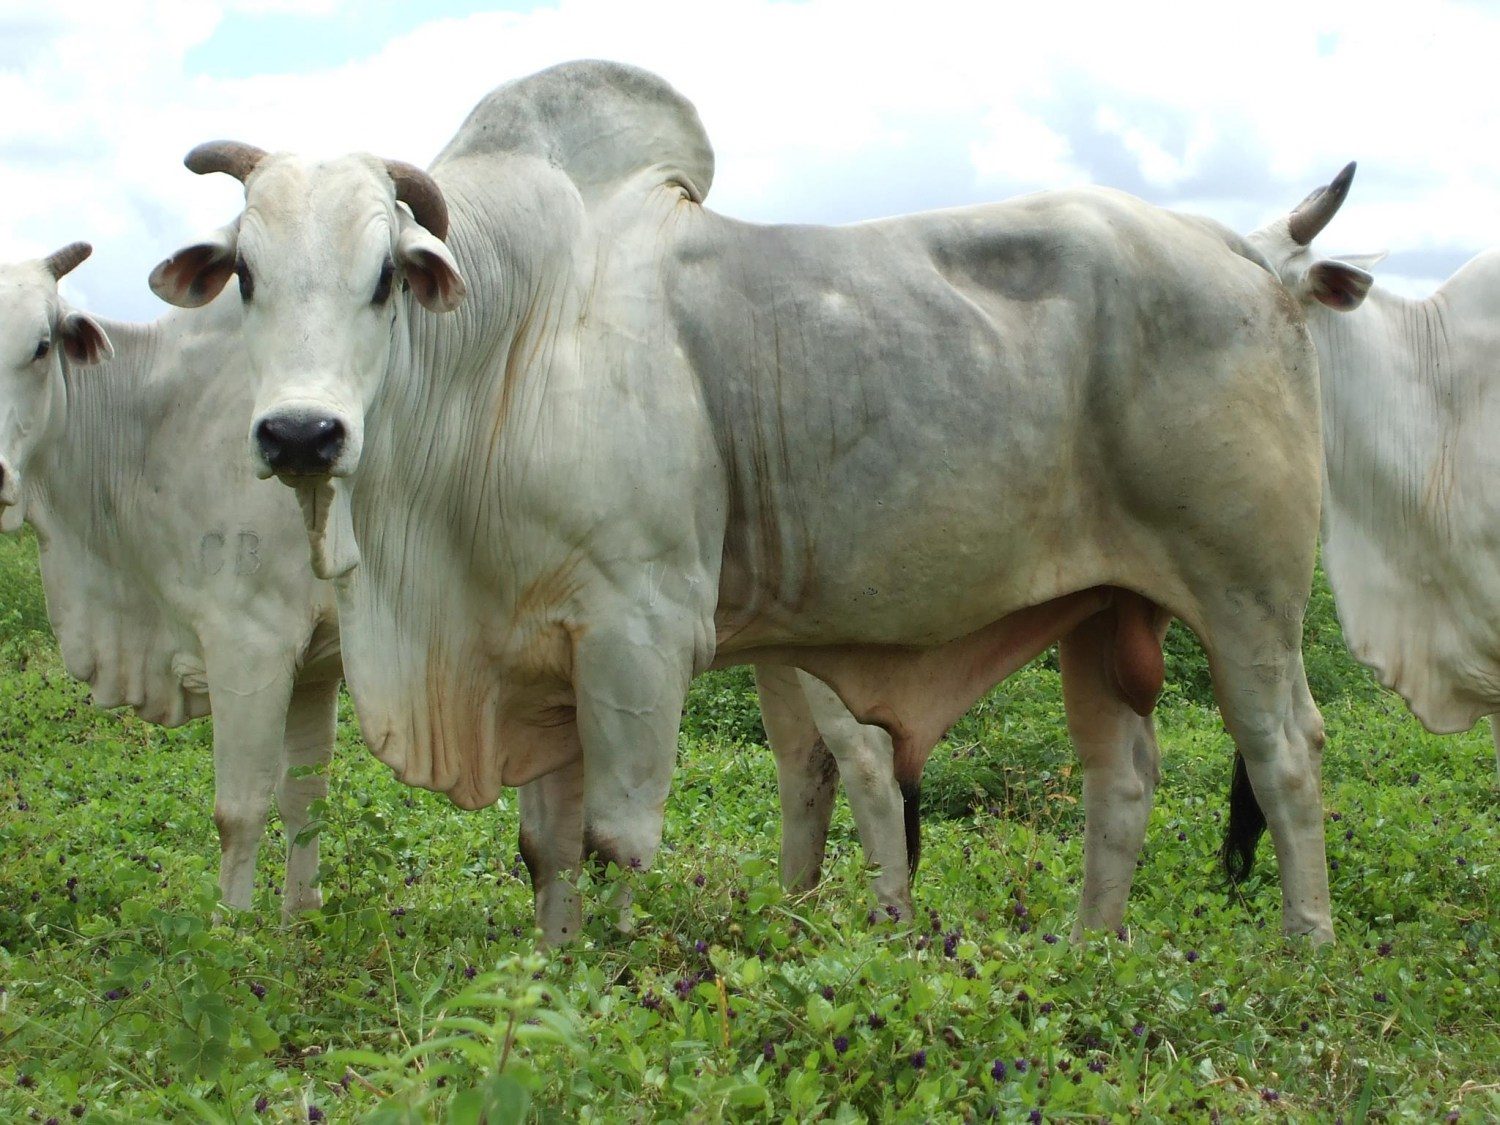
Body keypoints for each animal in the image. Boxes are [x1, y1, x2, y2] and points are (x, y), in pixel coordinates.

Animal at [0, 244, 340, 918]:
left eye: (41, 347)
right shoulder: (314, 662)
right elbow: (303, 796)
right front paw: (299, 912)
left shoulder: (251, 644)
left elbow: (239, 809)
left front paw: (232, 926)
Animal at [152, 59, 1338, 942]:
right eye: (247, 275)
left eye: (386, 278)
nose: (301, 433)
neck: (511, 342)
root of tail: (1245, 253)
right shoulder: (538, 655)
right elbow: (545, 849)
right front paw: (548, 973)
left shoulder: (639, 632)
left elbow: (617, 840)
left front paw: (611, 984)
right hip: (1102, 610)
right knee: (1120, 779)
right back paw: (1089, 950)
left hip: (1249, 596)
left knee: (1285, 754)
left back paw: (1304, 950)